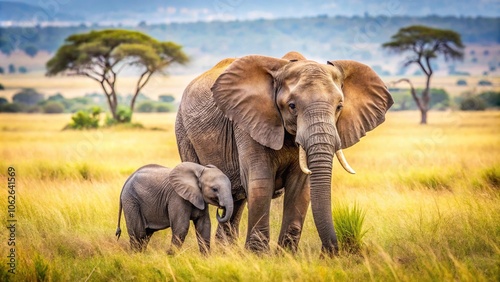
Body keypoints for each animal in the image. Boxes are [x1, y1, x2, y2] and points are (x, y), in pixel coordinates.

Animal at [176, 51, 394, 256]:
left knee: (235, 201)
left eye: (339, 107)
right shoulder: (247, 123)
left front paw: (285, 256)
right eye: (292, 106)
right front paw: (259, 256)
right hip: (183, 132)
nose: (328, 253)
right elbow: (261, 183)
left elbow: (300, 188)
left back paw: (226, 254)